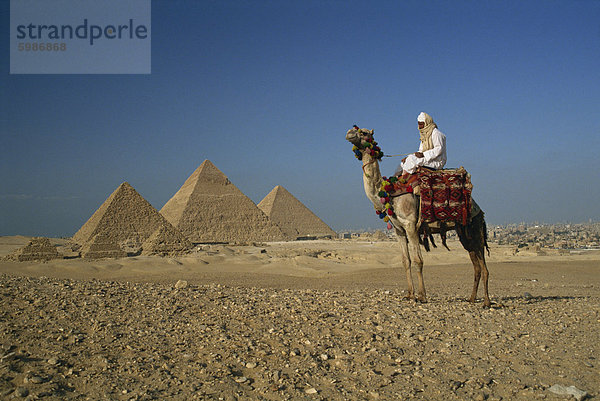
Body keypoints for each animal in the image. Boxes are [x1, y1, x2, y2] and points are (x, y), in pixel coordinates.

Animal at [344, 127, 490, 306]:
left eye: (364, 133)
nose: (349, 133)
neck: (388, 193)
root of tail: (479, 209)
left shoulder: (410, 225)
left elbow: (418, 260)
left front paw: (421, 296)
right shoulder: (399, 230)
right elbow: (405, 261)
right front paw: (409, 294)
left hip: (475, 227)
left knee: (483, 265)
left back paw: (486, 302)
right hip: (464, 232)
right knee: (476, 264)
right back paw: (471, 298)